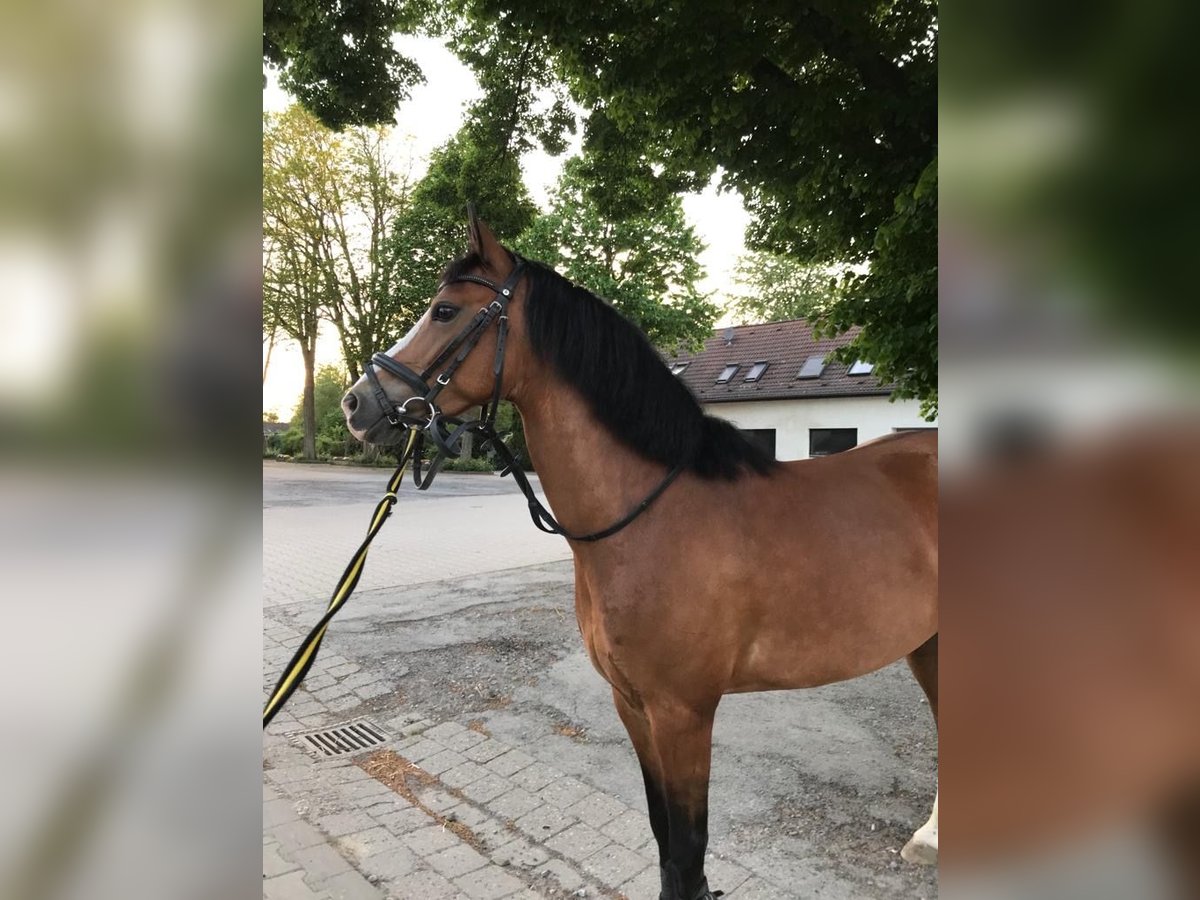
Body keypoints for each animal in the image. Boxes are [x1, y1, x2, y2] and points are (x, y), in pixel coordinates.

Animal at [340, 213, 936, 900]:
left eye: (443, 311)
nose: (355, 404)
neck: (651, 515)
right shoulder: (632, 705)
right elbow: (663, 840)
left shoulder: (684, 713)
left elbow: (689, 851)